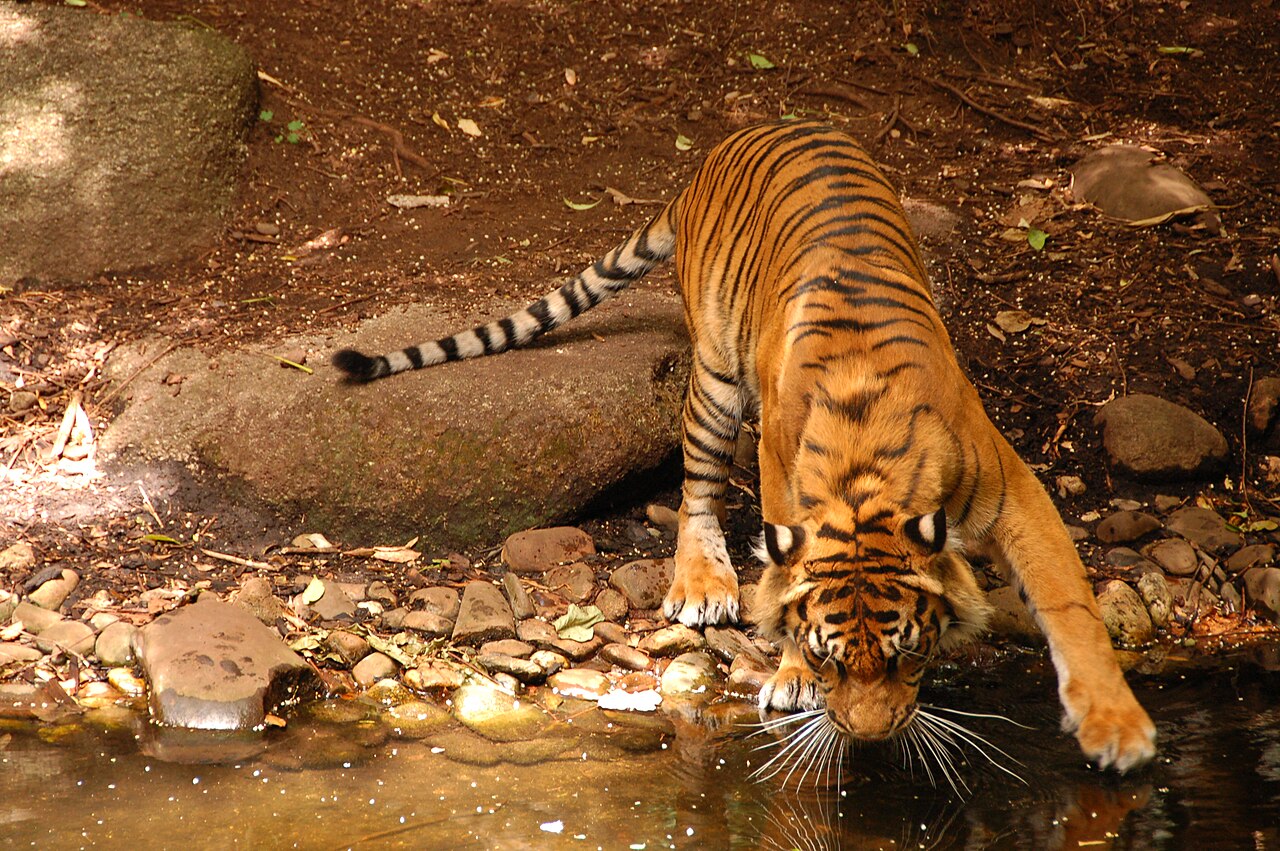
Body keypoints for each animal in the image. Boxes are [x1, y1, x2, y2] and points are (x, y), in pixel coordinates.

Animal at [333, 120, 1156, 773]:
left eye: (909, 655)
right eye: (830, 660)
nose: (869, 738)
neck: (867, 478)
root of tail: (721, 151)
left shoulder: (1014, 489)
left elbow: (1069, 602)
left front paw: (1117, 727)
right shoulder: (779, 471)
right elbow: (785, 578)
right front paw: (790, 673)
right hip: (716, 375)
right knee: (698, 488)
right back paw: (703, 584)